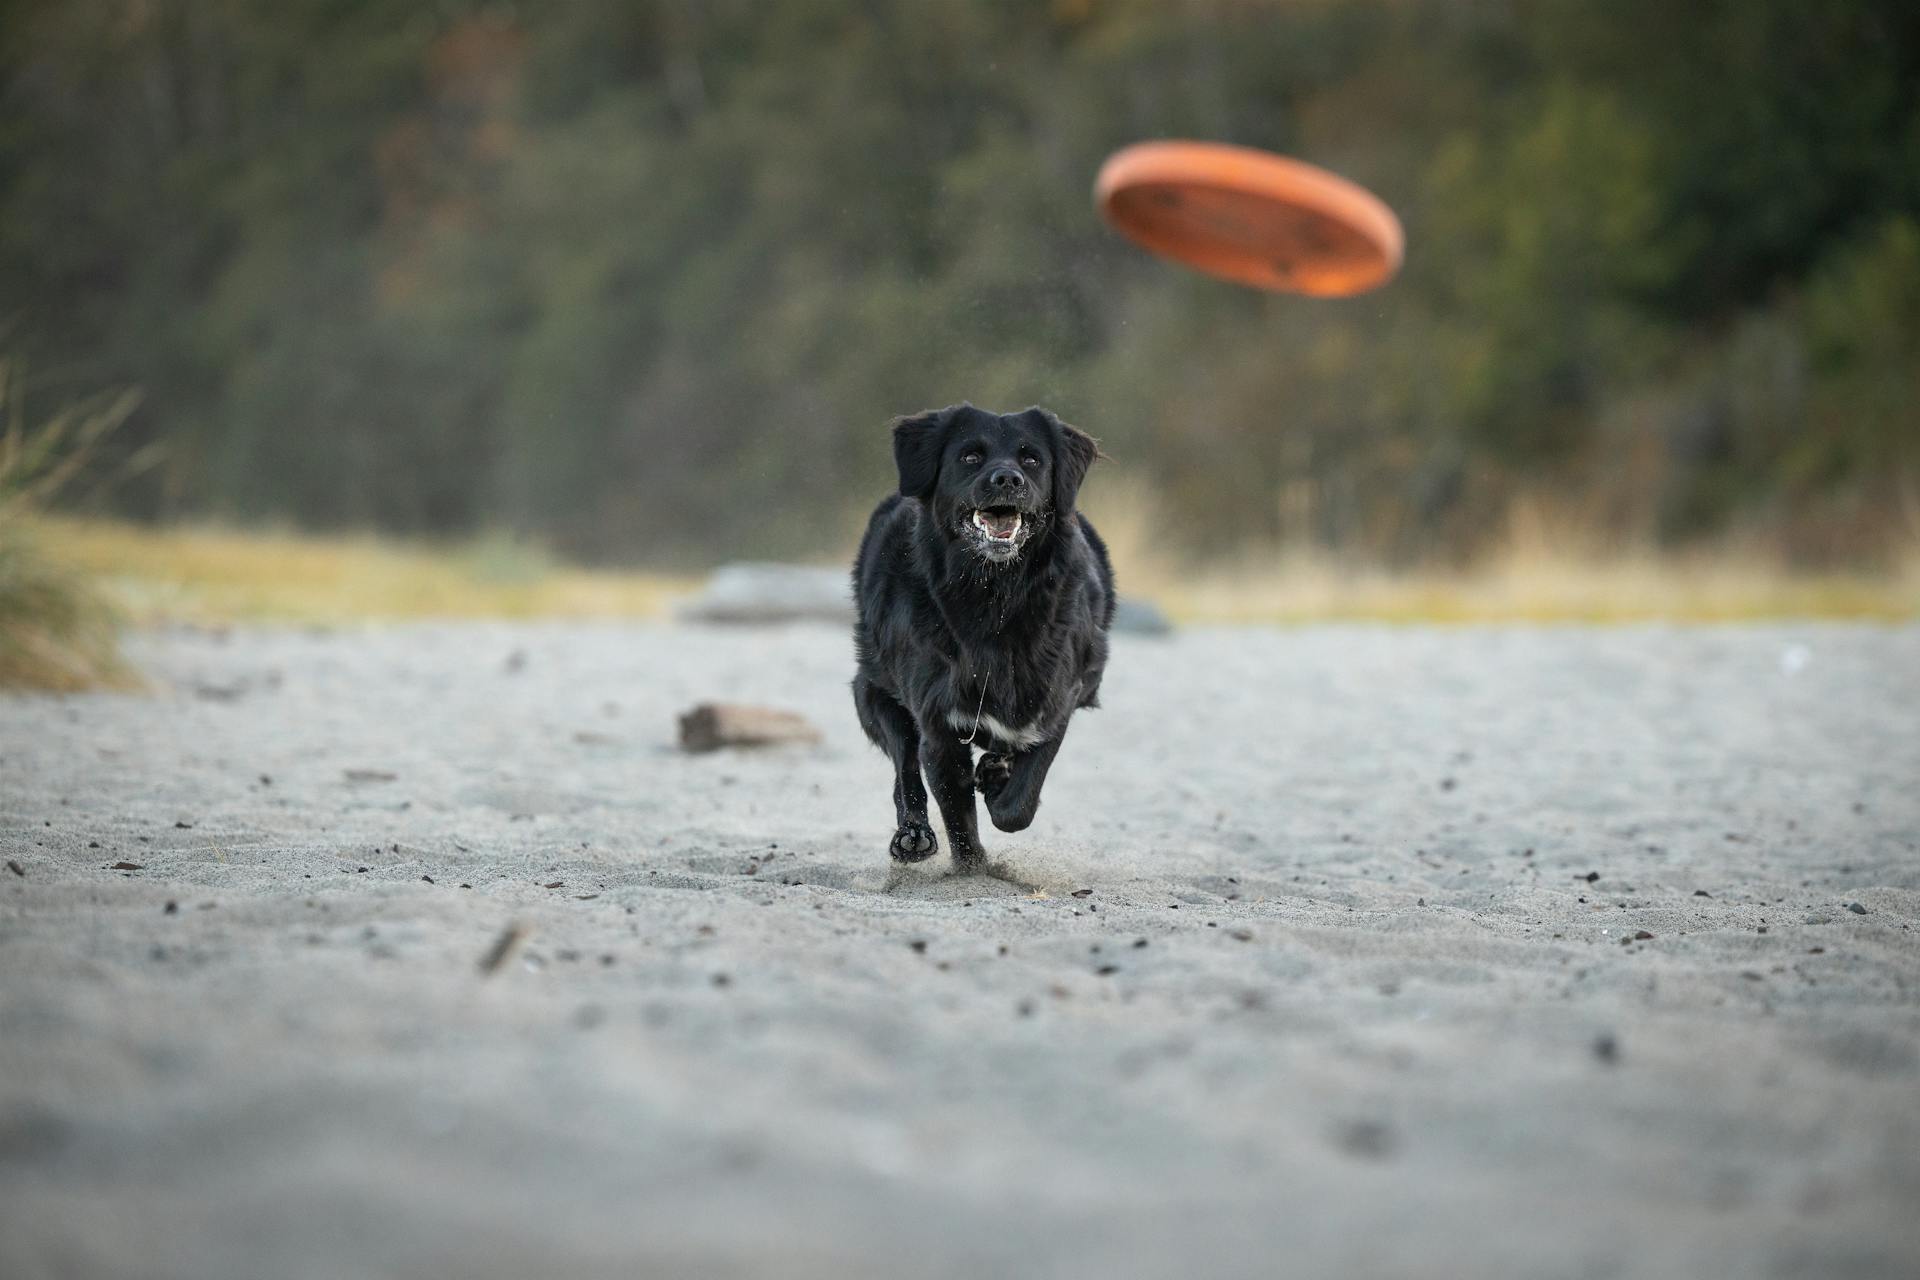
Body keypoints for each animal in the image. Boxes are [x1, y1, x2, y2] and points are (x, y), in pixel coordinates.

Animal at [852, 404, 1121, 875]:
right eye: (970, 456)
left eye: (1031, 459)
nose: (1007, 479)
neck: (995, 597)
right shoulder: (938, 726)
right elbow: (957, 815)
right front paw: (972, 869)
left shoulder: (1057, 701)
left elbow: (1020, 801)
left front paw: (999, 788)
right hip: (873, 693)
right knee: (905, 769)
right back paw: (913, 835)